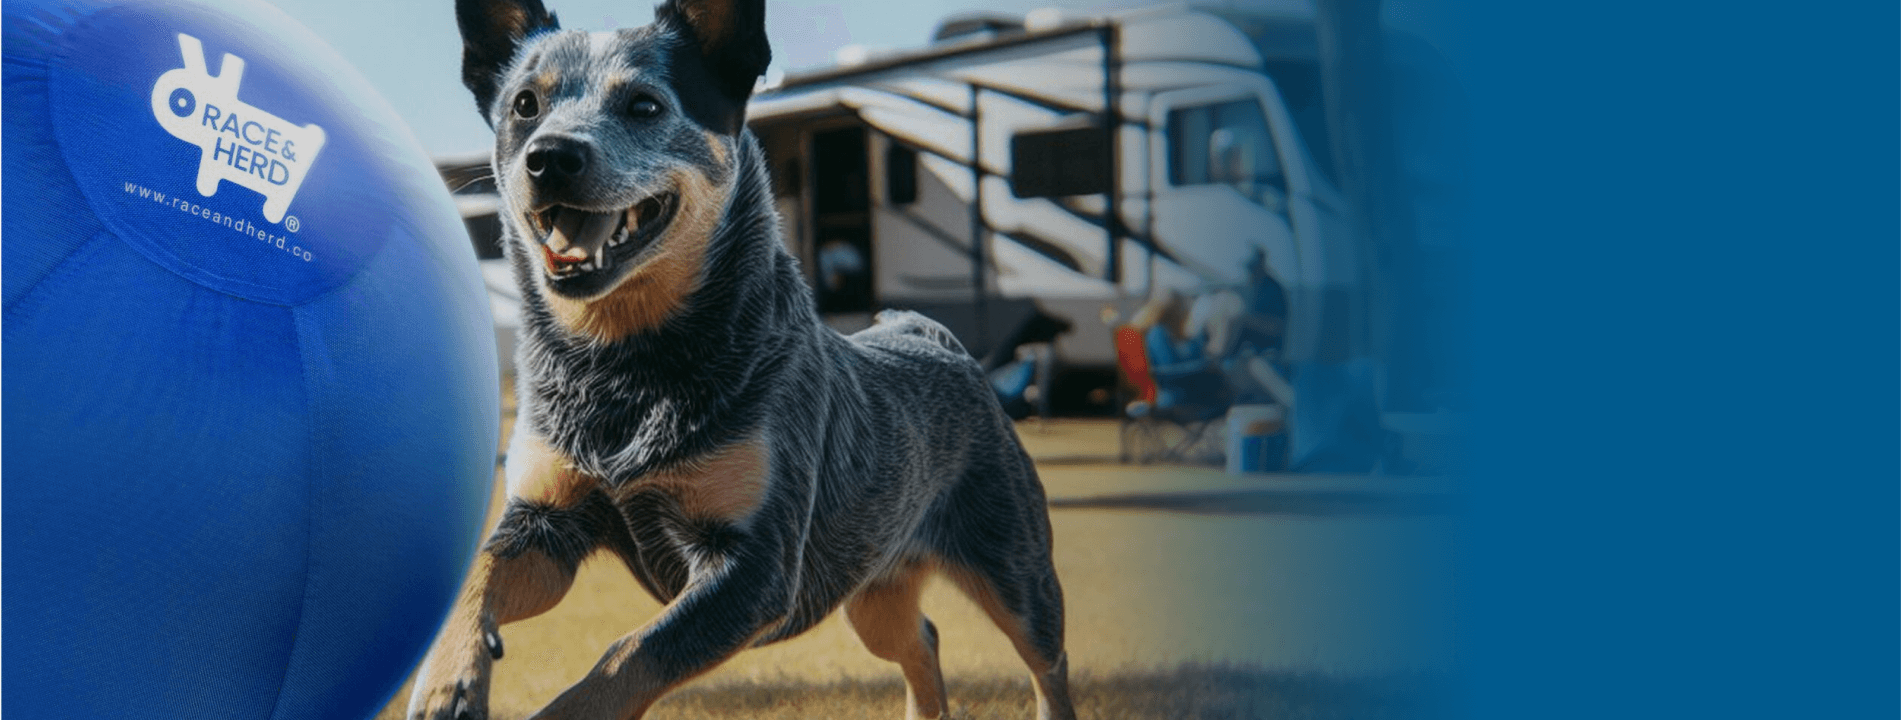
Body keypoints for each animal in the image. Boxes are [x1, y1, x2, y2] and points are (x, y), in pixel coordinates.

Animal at [408, 1, 1079, 720]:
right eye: (525, 105)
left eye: (644, 105)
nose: (550, 156)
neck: (623, 367)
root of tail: (929, 336)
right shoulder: (546, 521)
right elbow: (476, 580)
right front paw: (447, 682)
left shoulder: (752, 569)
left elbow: (624, 659)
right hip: (872, 587)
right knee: (921, 639)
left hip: (1014, 570)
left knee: (1046, 664)